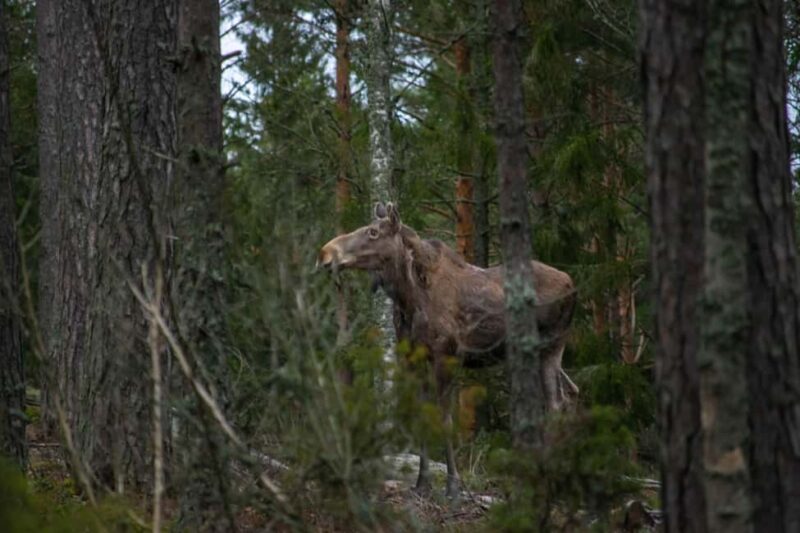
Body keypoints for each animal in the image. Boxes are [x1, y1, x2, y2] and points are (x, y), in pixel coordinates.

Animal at [316, 202, 578, 498]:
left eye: (372, 232)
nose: (325, 253)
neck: (410, 298)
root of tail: (572, 285)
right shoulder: (413, 357)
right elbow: (423, 415)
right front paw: (422, 482)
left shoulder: (447, 355)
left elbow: (446, 419)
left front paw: (453, 485)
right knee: (567, 396)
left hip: (552, 345)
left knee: (556, 404)